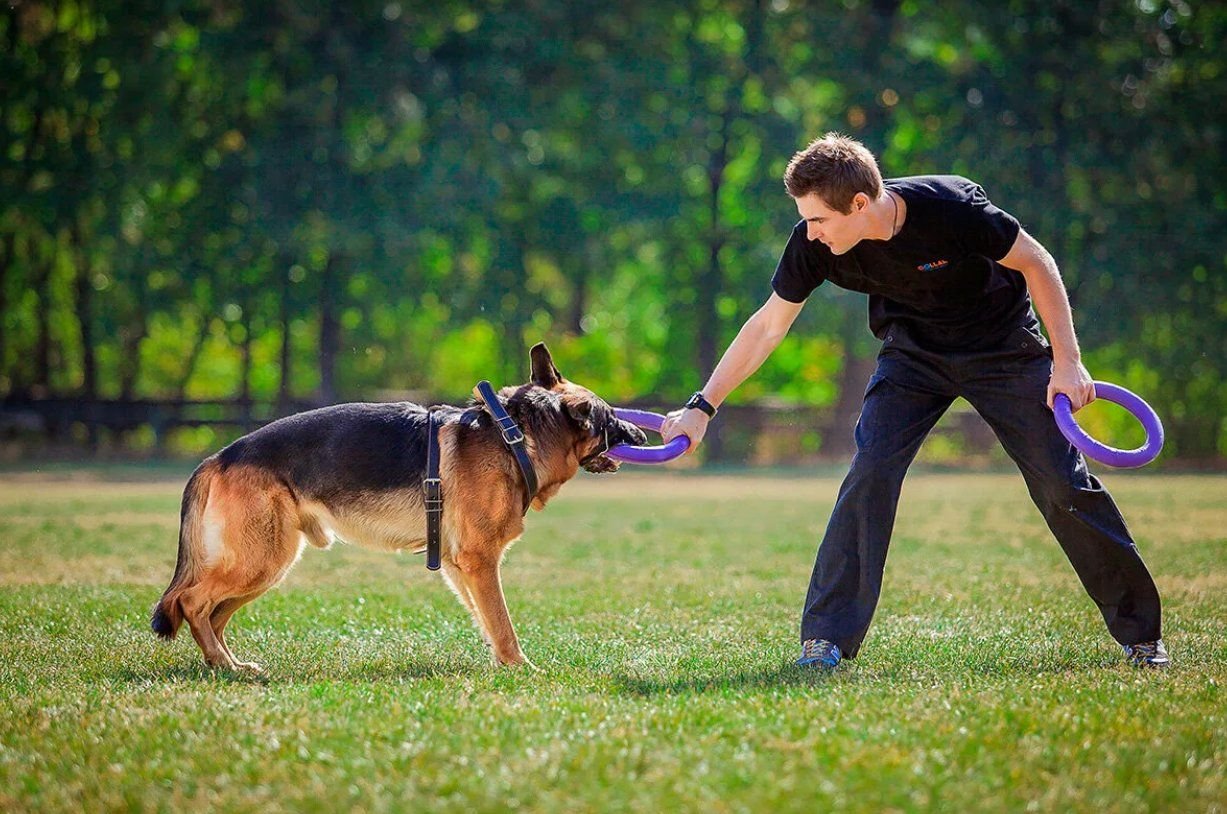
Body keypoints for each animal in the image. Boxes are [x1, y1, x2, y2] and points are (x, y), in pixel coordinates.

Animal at [150, 346, 642, 672]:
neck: (515, 436)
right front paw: (522, 668)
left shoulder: (460, 566)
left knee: (212, 613)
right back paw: (224, 664)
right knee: (191, 602)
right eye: (610, 417)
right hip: (262, 559)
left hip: (265, 564)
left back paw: (227, 664)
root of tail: (219, 456)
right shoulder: (480, 560)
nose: (640, 433)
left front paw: (503, 665)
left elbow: (487, 620)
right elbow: (502, 621)